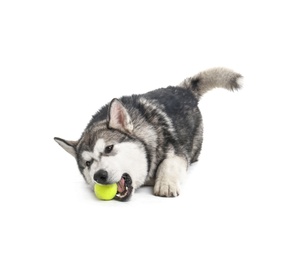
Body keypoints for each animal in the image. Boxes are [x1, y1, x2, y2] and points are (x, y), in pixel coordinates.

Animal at [54, 67, 243, 201]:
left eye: (109, 148)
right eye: (87, 163)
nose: (99, 175)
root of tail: (183, 90)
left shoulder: (177, 151)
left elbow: (169, 164)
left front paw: (166, 183)